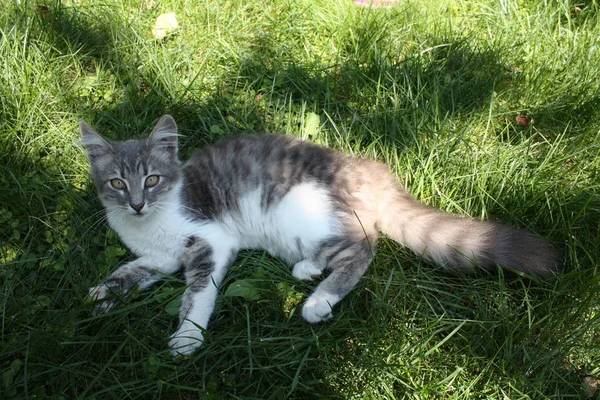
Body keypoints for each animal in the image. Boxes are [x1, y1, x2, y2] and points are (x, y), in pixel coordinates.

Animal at [79, 114, 556, 354]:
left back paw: (319, 299)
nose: (136, 203)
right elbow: (130, 271)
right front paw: (103, 293)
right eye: (117, 183)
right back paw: (309, 269)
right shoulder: (157, 257)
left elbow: (198, 293)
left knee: (363, 246)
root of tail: (371, 170)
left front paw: (187, 336)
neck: (152, 224)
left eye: (153, 179)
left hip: (299, 206)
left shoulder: (210, 240)